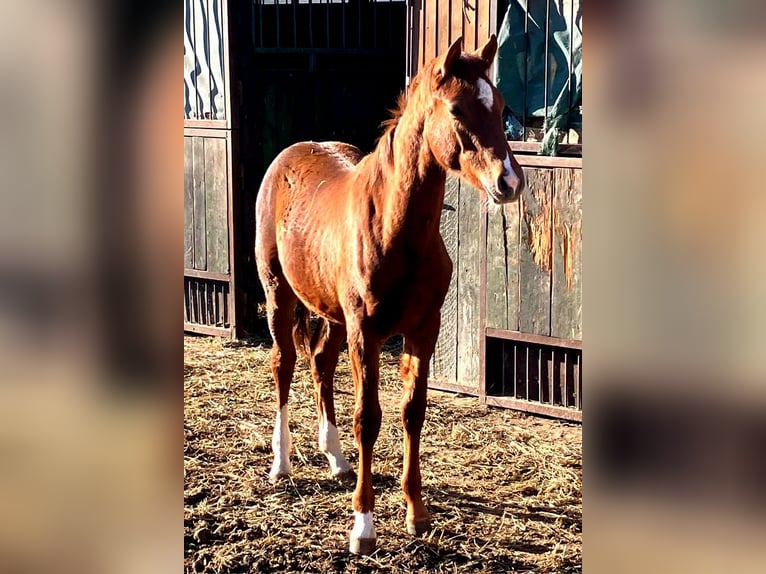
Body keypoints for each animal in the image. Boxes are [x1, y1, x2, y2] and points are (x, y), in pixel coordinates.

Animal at [254, 35, 524, 554]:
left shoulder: (423, 329)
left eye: (502, 106)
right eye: (457, 109)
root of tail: (289, 155)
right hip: (280, 292)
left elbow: (411, 412)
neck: (397, 231)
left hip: (332, 314)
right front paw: (363, 526)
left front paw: (416, 512)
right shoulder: (368, 332)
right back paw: (281, 464)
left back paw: (336, 460)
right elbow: (369, 417)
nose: (510, 182)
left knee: (320, 362)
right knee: (284, 364)